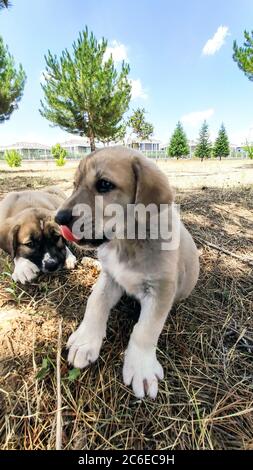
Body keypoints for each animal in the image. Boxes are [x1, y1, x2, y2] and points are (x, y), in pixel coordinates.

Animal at [55, 146, 200, 396]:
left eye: (104, 184)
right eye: (74, 184)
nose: (58, 218)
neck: (126, 241)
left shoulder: (161, 290)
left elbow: (146, 330)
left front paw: (141, 366)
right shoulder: (111, 277)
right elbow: (94, 303)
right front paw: (86, 340)